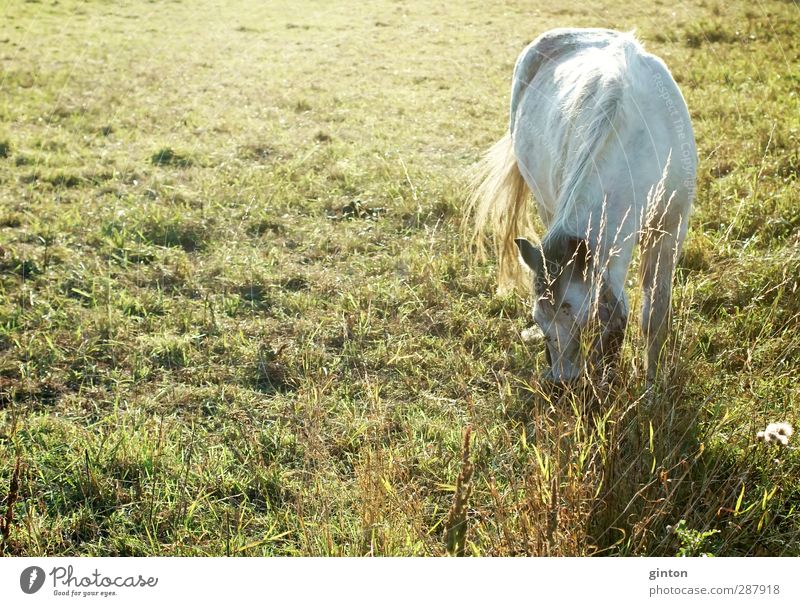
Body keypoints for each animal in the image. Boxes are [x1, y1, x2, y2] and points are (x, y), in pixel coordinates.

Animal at [468, 28, 692, 384]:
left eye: (580, 314)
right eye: (538, 319)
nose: (562, 381)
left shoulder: (669, 231)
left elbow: (655, 316)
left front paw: (653, 385)